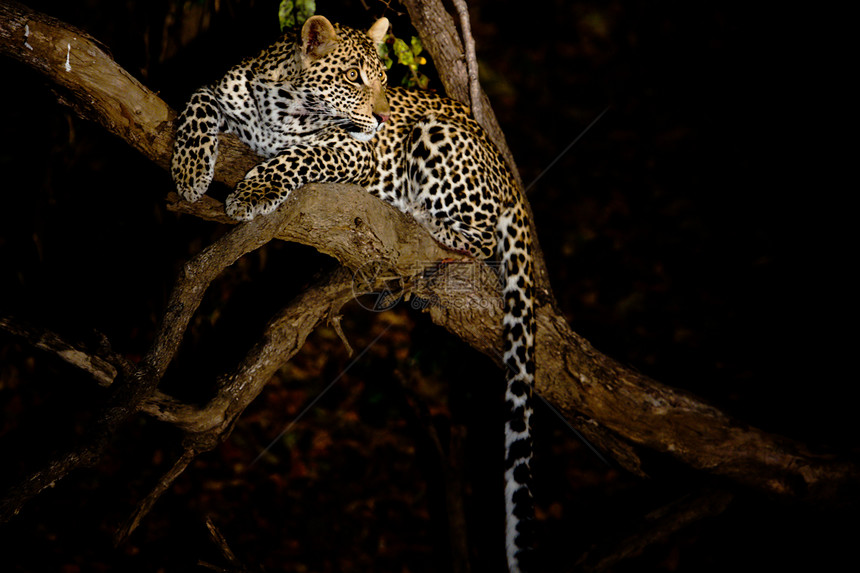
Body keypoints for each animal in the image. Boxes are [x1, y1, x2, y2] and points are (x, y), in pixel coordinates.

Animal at [172, 14, 536, 572]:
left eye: (386, 79)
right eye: (355, 78)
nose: (384, 117)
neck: (283, 107)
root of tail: (508, 173)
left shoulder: (352, 150)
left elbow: (298, 157)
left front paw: (254, 191)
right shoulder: (219, 93)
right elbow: (197, 100)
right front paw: (190, 171)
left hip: (437, 139)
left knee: (479, 239)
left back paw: (418, 214)